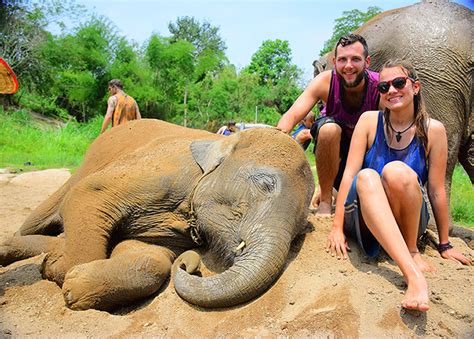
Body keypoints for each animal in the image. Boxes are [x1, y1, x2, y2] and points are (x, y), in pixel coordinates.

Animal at [0, 119, 314, 310]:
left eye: (300, 231)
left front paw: (74, 284)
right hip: (84, 165)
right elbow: (88, 195)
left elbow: (150, 259)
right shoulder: (160, 169)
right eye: (264, 184)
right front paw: (57, 269)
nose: (189, 265)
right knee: (42, 215)